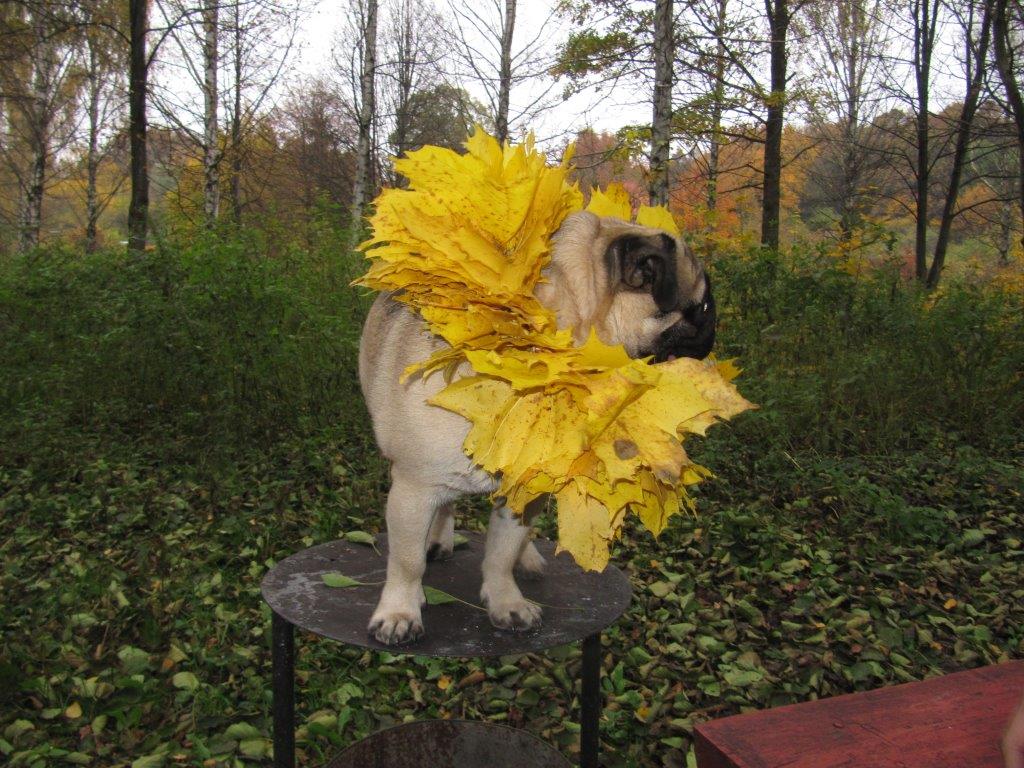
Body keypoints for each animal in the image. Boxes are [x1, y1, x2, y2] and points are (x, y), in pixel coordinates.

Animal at [358, 210, 716, 645]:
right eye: (703, 305)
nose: (714, 325)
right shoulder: (413, 487)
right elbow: (407, 560)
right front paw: (399, 612)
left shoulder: (524, 491)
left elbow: (501, 554)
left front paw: (505, 602)